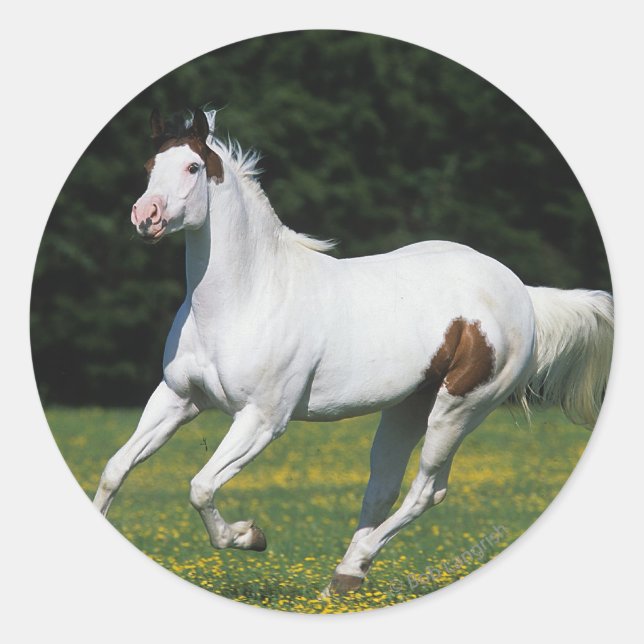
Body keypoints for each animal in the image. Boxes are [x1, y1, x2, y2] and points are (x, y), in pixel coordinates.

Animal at [93, 107, 613, 595]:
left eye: (193, 167)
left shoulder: (262, 419)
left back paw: (351, 568)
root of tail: (522, 293)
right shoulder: (178, 399)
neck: (246, 297)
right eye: (149, 165)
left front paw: (250, 536)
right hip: (408, 407)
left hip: (459, 409)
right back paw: (344, 578)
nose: (146, 217)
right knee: (383, 486)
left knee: (427, 490)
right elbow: (115, 469)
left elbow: (200, 487)